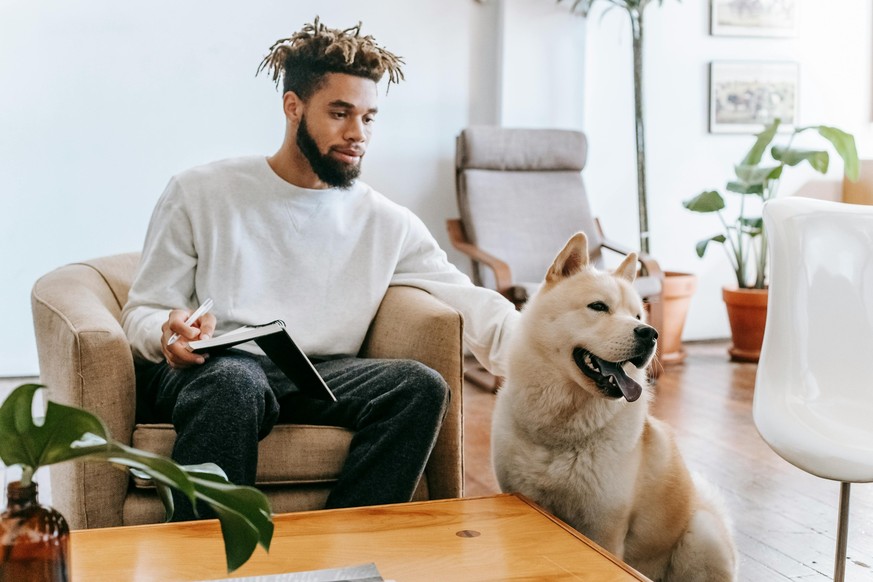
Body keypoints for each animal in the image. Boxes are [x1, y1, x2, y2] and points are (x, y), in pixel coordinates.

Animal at [490, 234, 736, 582]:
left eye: (638, 317)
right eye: (598, 307)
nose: (650, 334)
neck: (563, 430)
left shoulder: (604, 527)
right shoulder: (525, 498)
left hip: (701, 534)